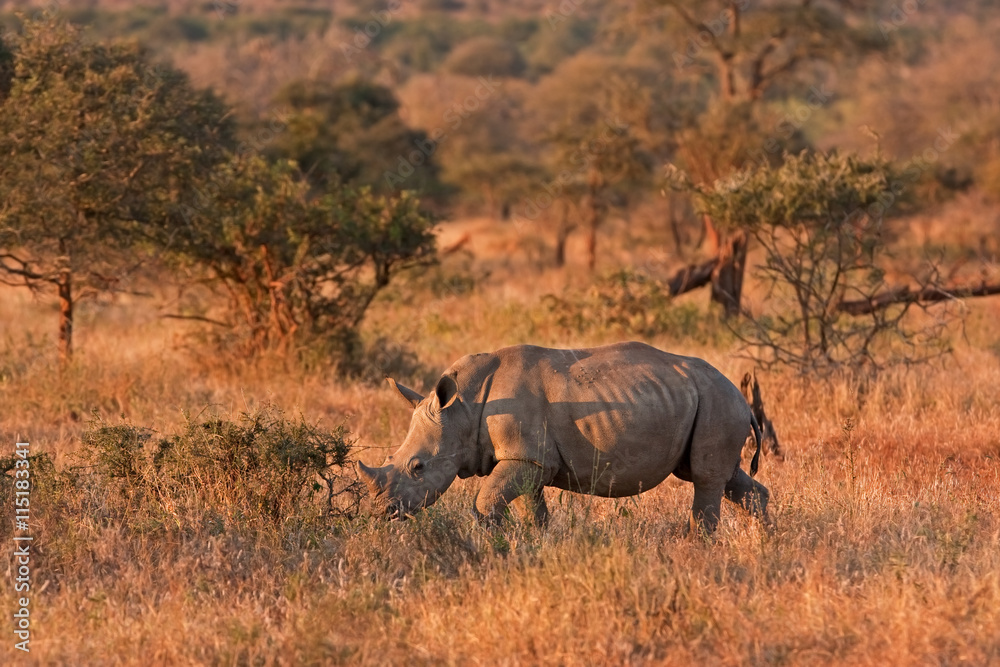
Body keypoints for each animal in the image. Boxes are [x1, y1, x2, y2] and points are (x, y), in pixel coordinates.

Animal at [358, 342, 770, 533]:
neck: (463, 407)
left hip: (717, 401)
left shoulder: (526, 457)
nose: (381, 513)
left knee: (705, 478)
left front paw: (495, 542)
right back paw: (767, 540)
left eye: (417, 467)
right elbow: (534, 508)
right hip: (707, 400)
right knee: (725, 478)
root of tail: (740, 395)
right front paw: (535, 542)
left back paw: (698, 547)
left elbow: (486, 500)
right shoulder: (532, 459)